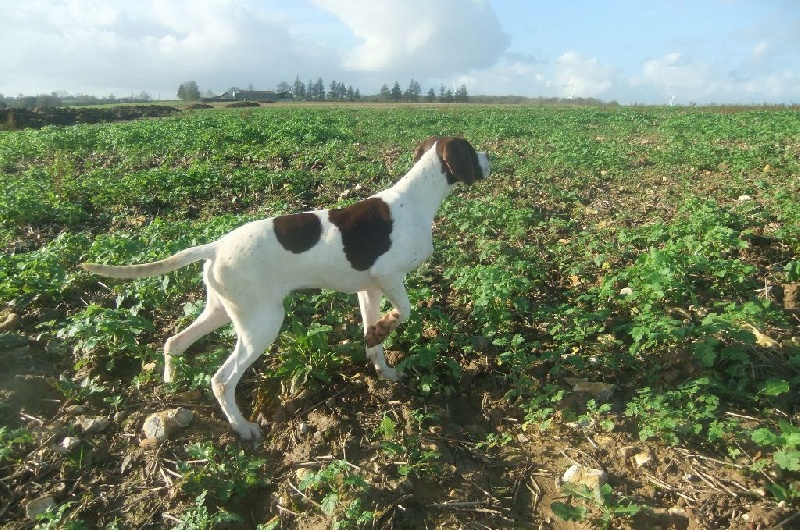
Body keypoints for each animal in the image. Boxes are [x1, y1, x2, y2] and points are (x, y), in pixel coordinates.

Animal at [84, 136, 490, 438]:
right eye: (473, 150)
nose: (491, 159)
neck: (416, 199)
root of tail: (215, 246)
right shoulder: (388, 274)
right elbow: (405, 310)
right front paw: (385, 330)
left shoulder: (369, 289)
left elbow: (374, 340)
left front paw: (381, 360)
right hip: (262, 323)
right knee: (221, 380)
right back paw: (243, 427)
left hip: (222, 311)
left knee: (174, 342)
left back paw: (170, 382)